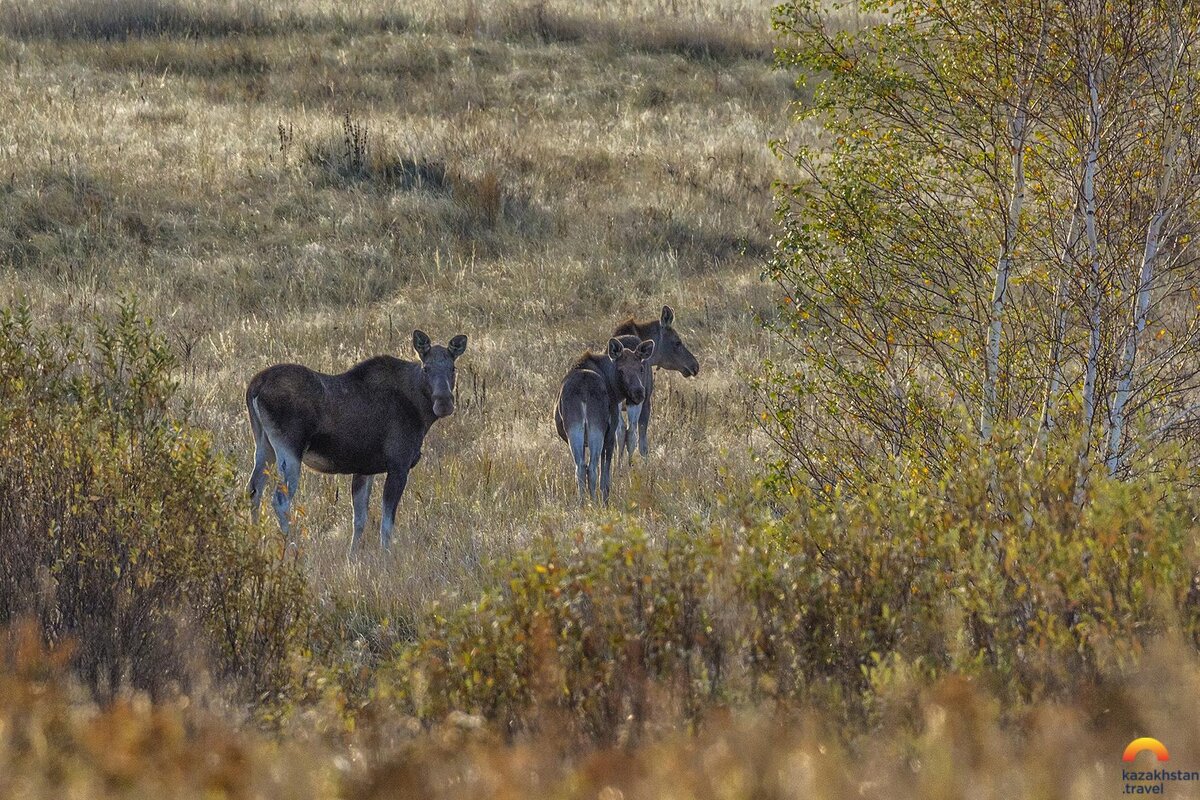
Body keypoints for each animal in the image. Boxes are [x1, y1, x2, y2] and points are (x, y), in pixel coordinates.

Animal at [246, 328, 465, 554]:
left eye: (453, 368)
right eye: (426, 368)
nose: (444, 402)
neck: (421, 414)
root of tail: (255, 386)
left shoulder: (365, 469)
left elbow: (359, 519)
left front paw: (352, 555)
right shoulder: (398, 465)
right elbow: (386, 523)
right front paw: (386, 555)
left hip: (264, 446)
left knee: (253, 491)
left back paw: (255, 541)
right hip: (289, 451)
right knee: (279, 500)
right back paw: (289, 546)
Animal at [614, 304, 700, 462]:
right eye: (677, 342)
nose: (695, 366)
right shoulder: (647, 400)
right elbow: (643, 444)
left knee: (621, 433)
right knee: (631, 433)